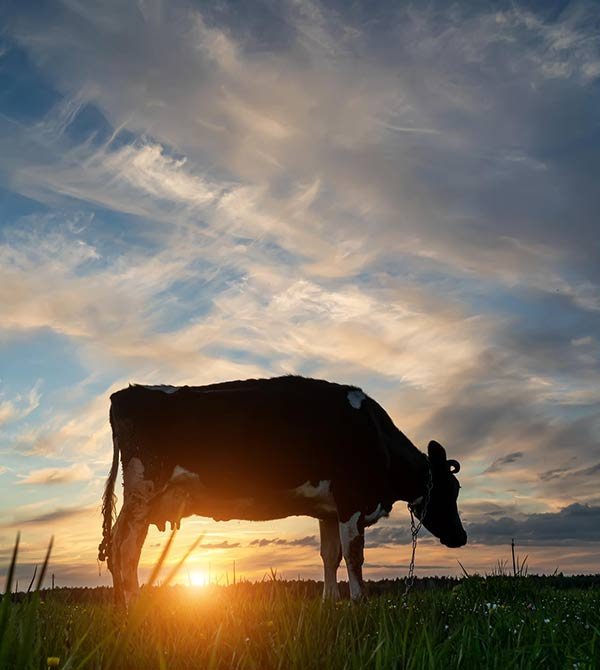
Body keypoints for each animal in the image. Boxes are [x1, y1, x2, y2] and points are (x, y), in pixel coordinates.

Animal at [96, 378, 466, 608]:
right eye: (449, 489)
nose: (461, 537)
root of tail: (123, 395)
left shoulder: (328, 510)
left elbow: (330, 555)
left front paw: (330, 603)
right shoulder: (351, 500)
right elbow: (354, 554)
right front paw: (359, 602)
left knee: (116, 544)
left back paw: (121, 604)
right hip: (144, 489)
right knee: (125, 547)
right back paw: (134, 605)